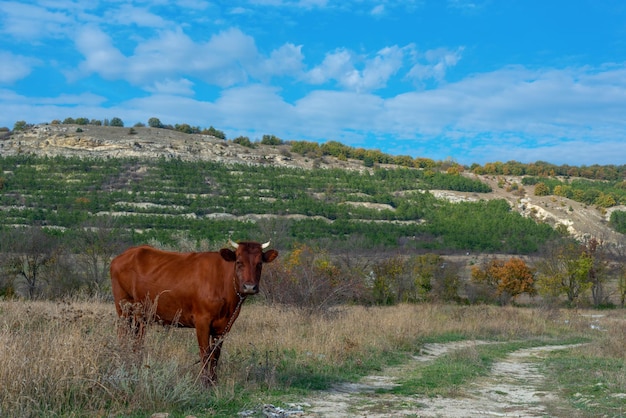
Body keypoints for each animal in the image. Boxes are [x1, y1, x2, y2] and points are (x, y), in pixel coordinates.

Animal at [109, 240, 278, 386]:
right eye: (239, 262)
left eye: (259, 263)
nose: (249, 287)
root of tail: (127, 253)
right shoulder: (202, 321)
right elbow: (205, 353)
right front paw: (204, 382)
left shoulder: (225, 325)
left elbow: (215, 355)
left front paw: (213, 382)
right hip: (123, 308)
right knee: (123, 336)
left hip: (141, 315)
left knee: (137, 340)